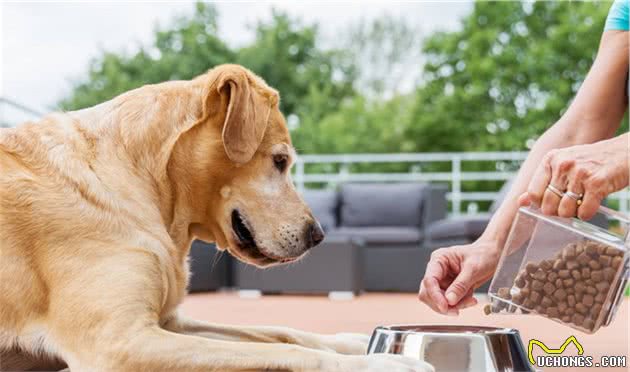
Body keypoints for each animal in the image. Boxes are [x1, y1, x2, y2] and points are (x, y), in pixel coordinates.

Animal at [0, 65, 434, 370]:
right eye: (280, 161)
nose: (318, 235)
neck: (143, 182)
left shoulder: (169, 323)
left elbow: (282, 333)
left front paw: (354, 341)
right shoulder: (118, 343)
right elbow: (291, 354)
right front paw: (384, 362)